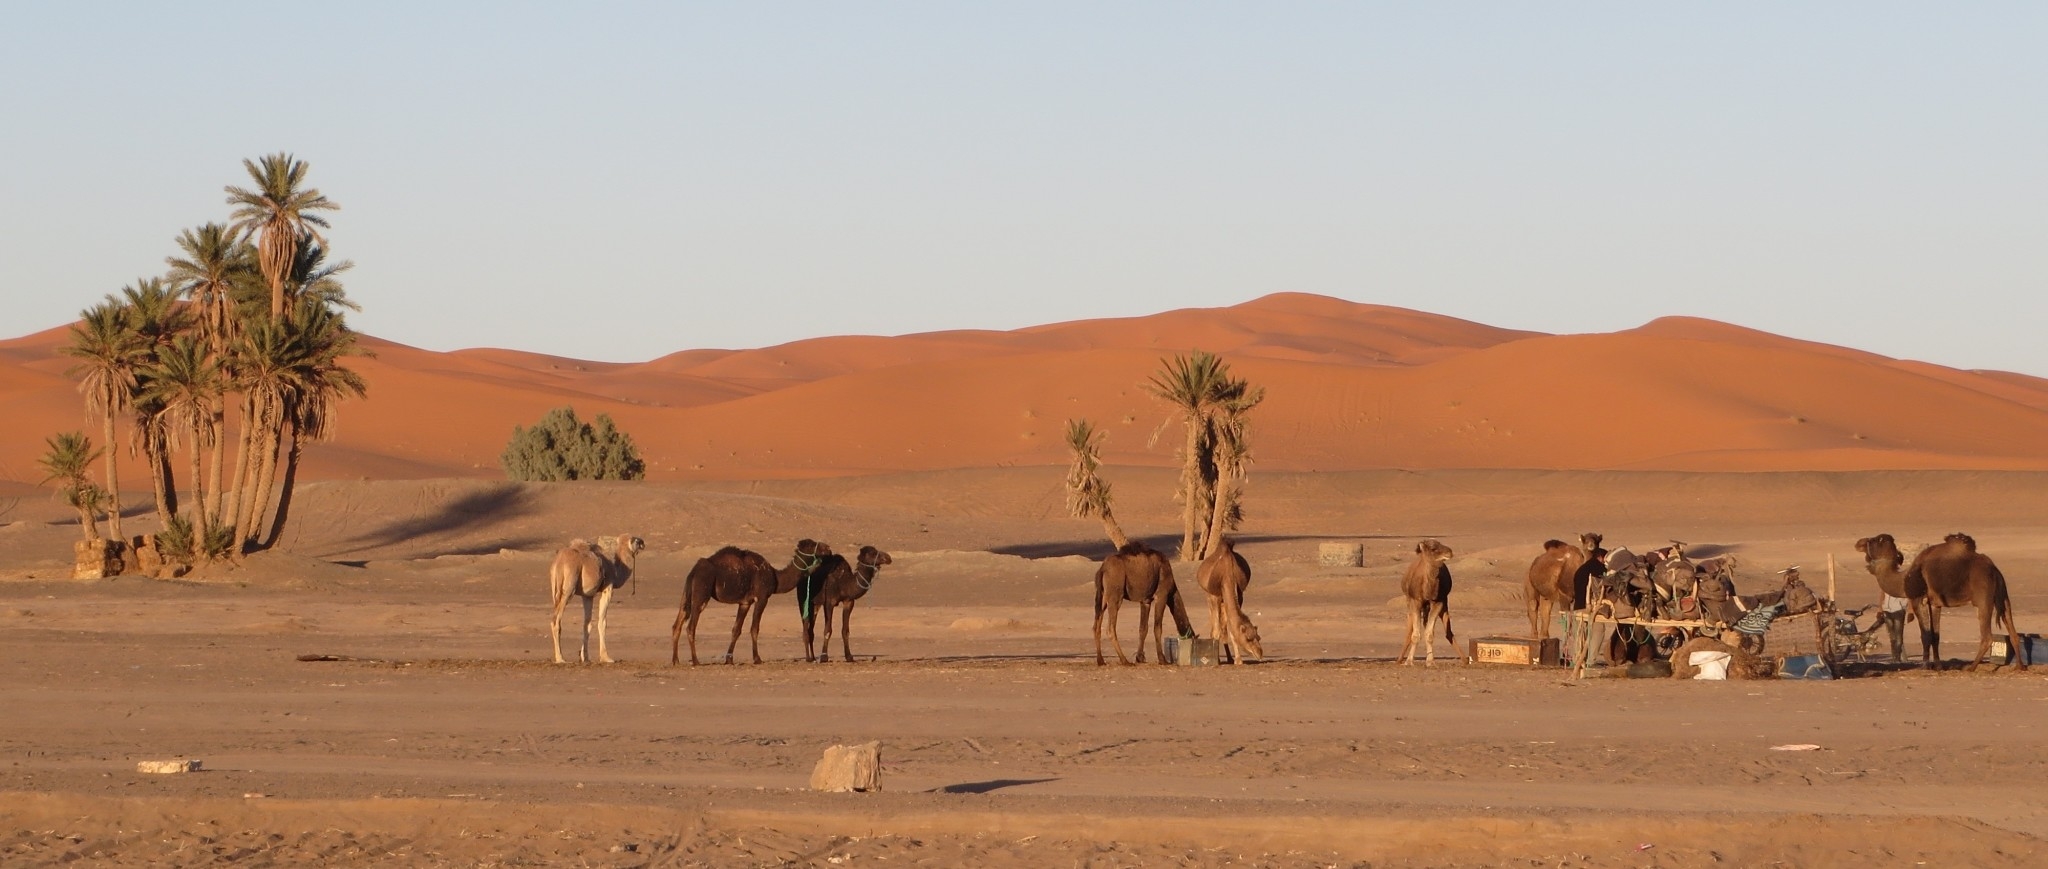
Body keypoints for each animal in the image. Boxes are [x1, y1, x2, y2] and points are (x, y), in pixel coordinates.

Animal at [548, 536, 643, 664]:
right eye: (636, 540)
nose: (643, 543)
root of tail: (559, 563)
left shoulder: (587, 595)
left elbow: (587, 625)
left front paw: (585, 657)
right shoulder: (608, 588)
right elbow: (602, 623)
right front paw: (606, 657)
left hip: (555, 591)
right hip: (568, 590)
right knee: (556, 620)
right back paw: (560, 658)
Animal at [671, 536, 831, 664]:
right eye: (812, 544)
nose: (828, 548)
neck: (776, 578)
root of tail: (693, 571)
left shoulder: (745, 602)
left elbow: (736, 630)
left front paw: (729, 660)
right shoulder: (762, 597)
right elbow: (755, 628)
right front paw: (757, 658)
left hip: (686, 593)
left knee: (677, 624)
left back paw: (675, 660)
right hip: (701, 591)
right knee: (690, 627)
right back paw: (695, 661)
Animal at [1196, 536, 1253, 664]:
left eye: (1256, 635)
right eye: (1247, 638)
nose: (1256, 652)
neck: (1227, 575)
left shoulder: (1239, 594)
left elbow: (1229, 627)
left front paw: (1238, 660)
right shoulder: (1215, 597)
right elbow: (1217, 630)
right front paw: (1216, 659)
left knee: (1223, 626)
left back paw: (1229, 658)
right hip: (1209, 597)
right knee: (1215, 625)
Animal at [1859, 528, 2031, 672]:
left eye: (1878, 540)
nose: (1859, 542)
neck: (1903, 580)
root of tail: (1994, 570)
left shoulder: (1917, 599)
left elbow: (1925, 635)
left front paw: (1925, 666)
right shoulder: (1935, 604)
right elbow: (1935, 635)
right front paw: (1938, 666)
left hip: (1983, 599)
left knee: (1987, 636)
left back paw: (1971, 667)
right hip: (2004, 596)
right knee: (2013, 631)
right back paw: (2020, 667)